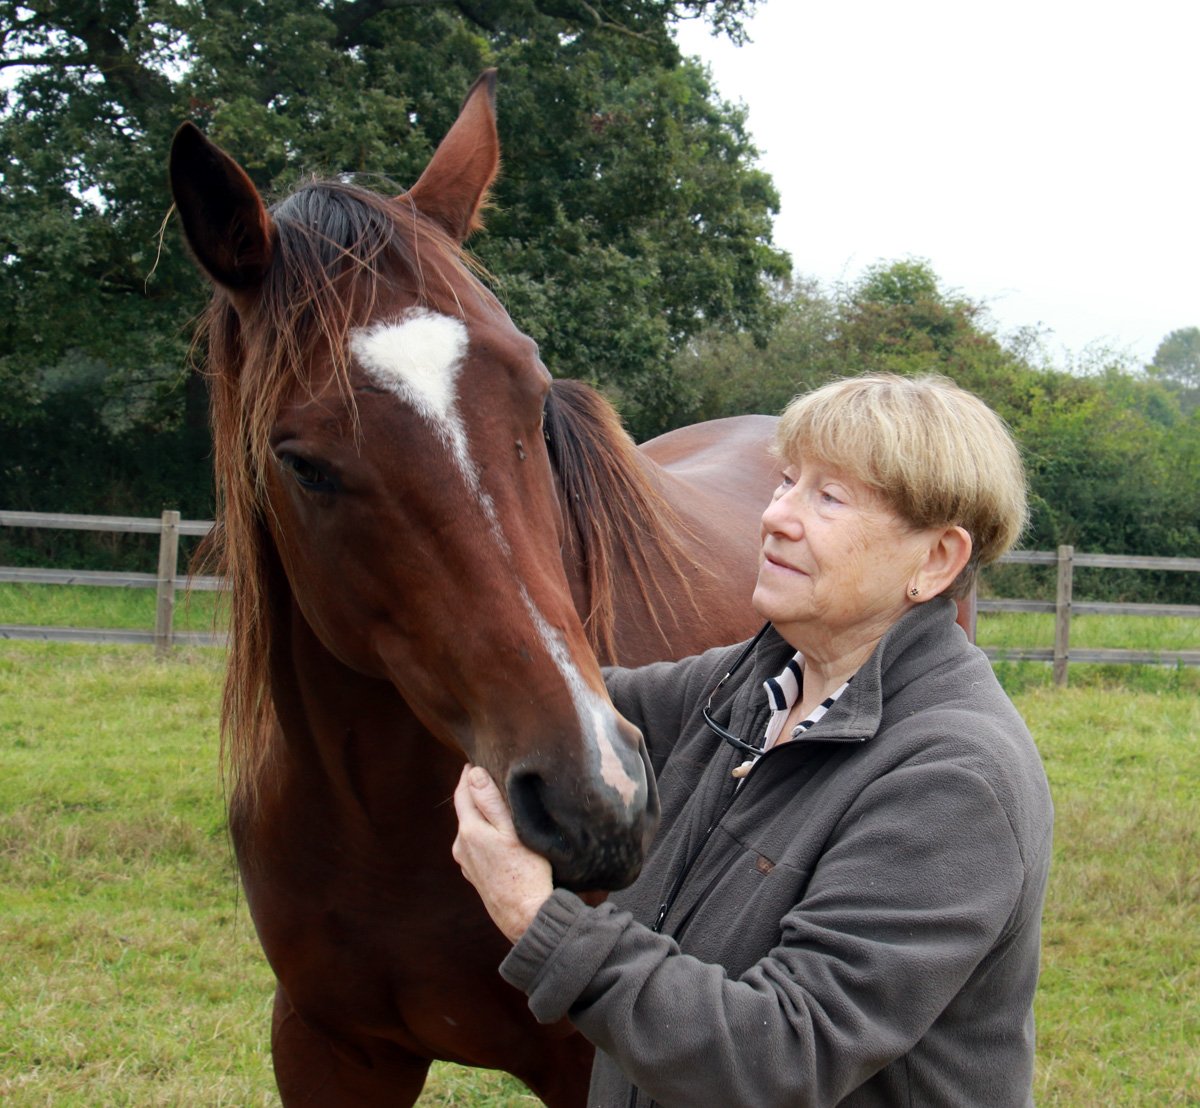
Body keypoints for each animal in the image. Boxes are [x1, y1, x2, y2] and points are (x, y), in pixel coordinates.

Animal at [170, 70, 781, 1105]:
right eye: (301, 464)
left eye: (534, 398)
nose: (598, 800)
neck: (381, 827)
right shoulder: (326, 1047)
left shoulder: (585, 1062)